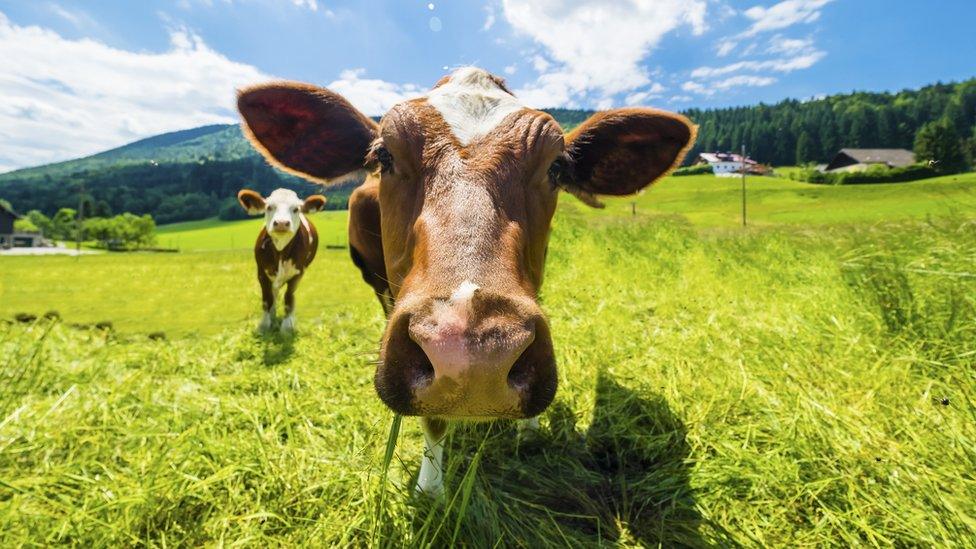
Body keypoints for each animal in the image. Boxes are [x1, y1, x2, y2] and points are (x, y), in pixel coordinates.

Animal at [237, 187, 326, 334]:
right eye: (269, 207)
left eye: (296, 209)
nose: (282, 223)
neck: (280, 252)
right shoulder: (261, 273)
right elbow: (267, 299)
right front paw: (265, 324)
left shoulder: (298, 273)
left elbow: (289, 297)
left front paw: (287, 326)